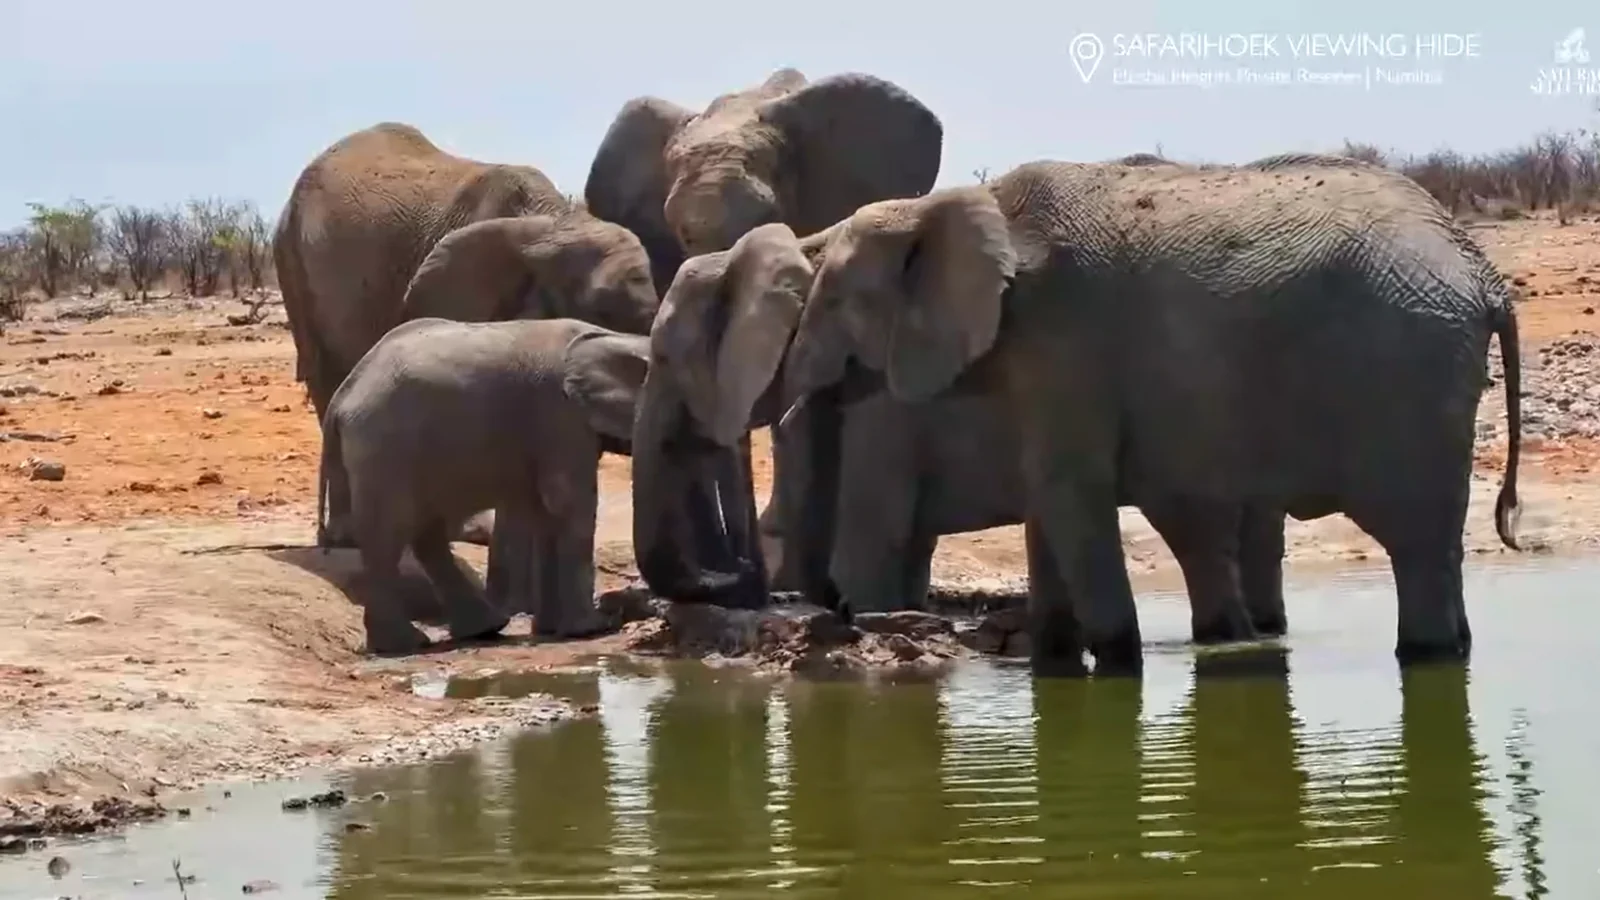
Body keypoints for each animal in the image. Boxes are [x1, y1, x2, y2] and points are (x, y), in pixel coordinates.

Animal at [315, 315, 679, 654]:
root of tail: (342, 395)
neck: (614, 338)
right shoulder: (559, 416)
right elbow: (570, 503)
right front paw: (593, 628)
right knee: (392, 534)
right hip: (385, 448)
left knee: (423, 532)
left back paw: (482, 629)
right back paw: (405, 644)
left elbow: (545, 514)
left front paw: (550, 630)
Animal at [779, 154, 1525, 676]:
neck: (949, 205)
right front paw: (1054, 665)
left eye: (831, 301)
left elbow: (1068, 494)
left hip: (1410, 374)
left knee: (1414, 542)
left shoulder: (1066, 342)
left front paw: (1113, 666)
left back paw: (1426, 655)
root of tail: (1483, 273)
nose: (837, 616)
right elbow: (1048, 499)